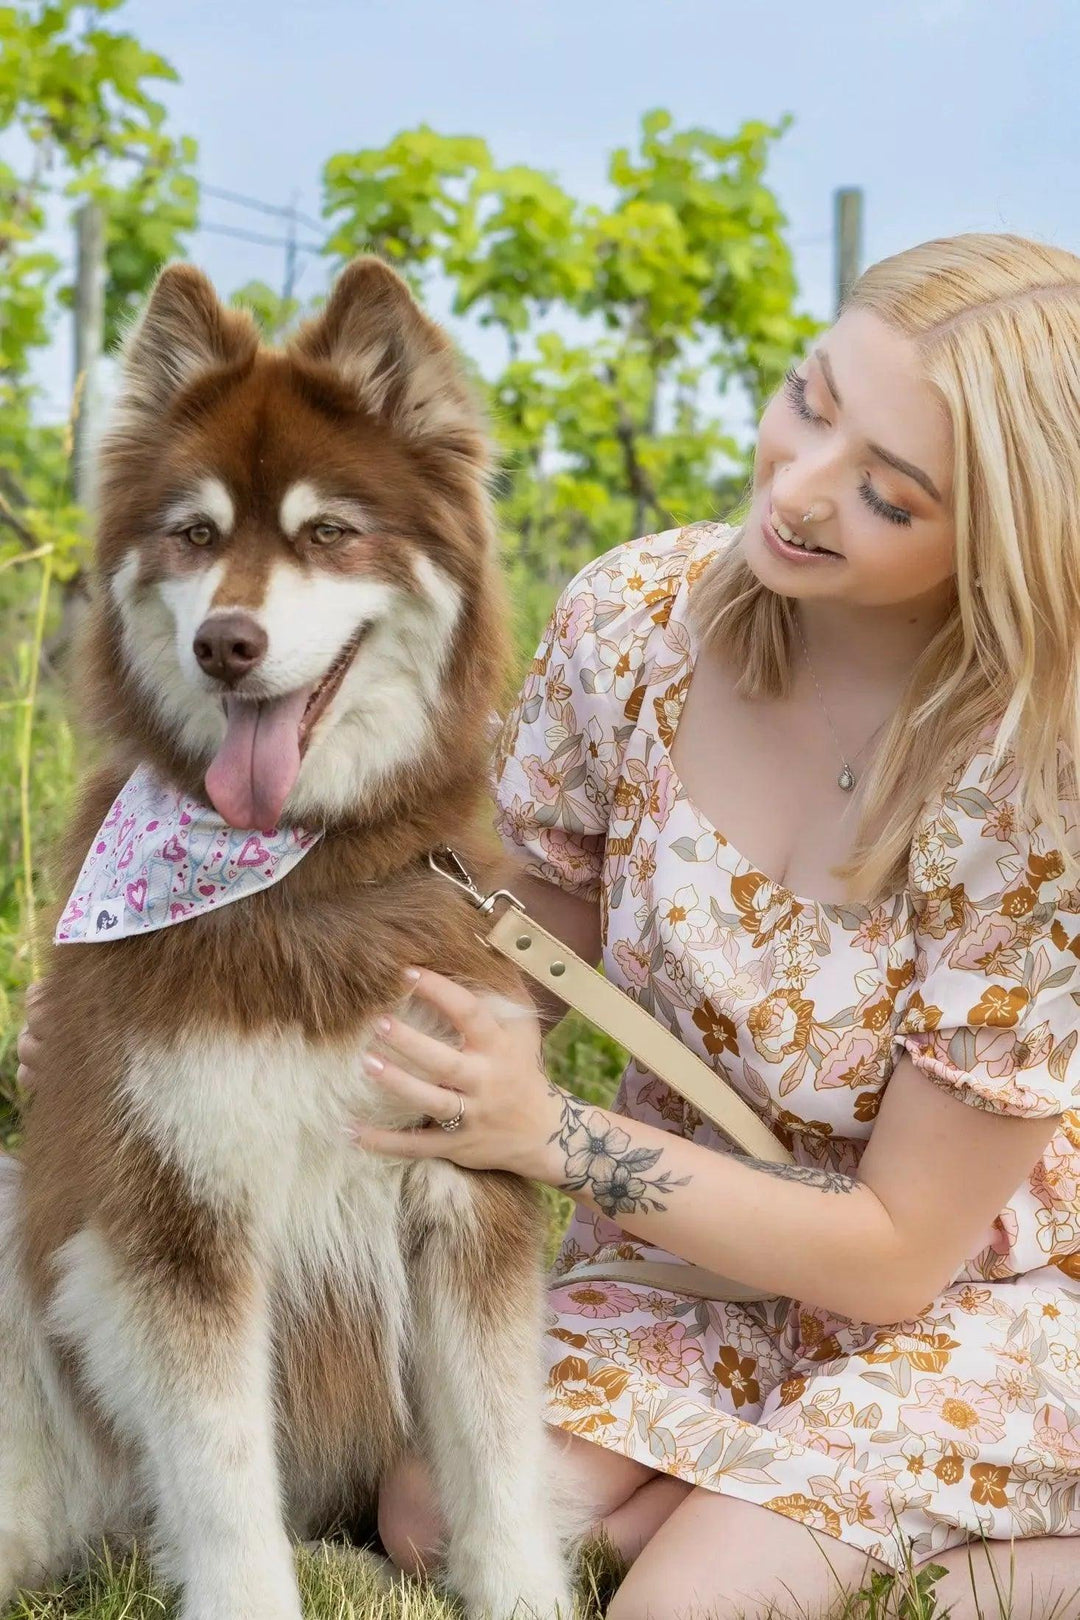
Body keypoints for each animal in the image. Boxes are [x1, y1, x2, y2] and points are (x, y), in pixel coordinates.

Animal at [0, 259, 573, 1620]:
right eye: (197, 535)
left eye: (326, 534)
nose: (227, 644)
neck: (308, 878)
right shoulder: (178, 1211)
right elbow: (219, 1479)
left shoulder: (464, 1184)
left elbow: (498, 1453)